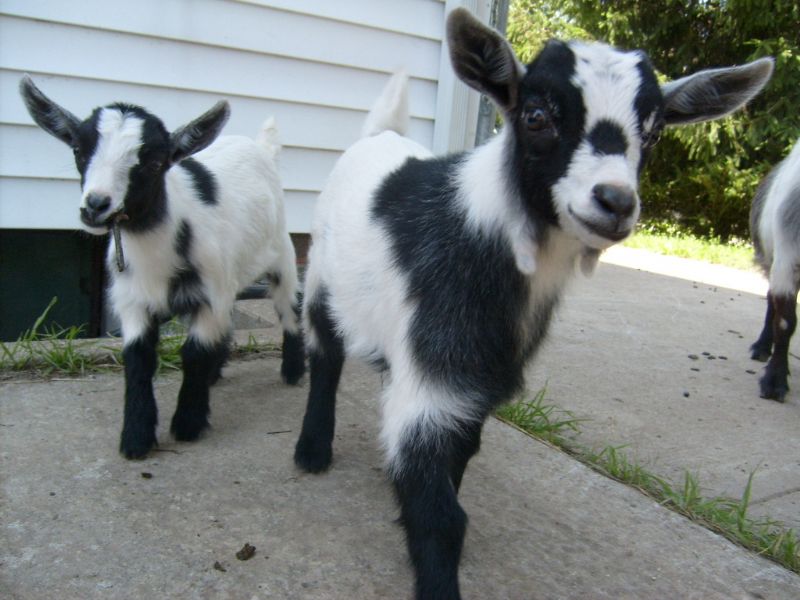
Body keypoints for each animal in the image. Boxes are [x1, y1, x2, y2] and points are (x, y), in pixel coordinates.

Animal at [19, 77, 305, 459]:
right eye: (79, 150)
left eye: (155, 163)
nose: (96, 206)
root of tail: (260, 147)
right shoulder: (133, 302)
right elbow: (138, 360)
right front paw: (136, 438)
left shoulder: (208, 295)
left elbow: (193, 353)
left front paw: (188, 424)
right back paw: (216, 373)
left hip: (281, 255)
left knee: (288, 307)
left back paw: (292, 371)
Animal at [292, 8, 773, 598]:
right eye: (537, 115)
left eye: (655, 131)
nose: (615, 202)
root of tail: (380, 134)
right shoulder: (434, 379)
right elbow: (441, 517)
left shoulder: (474, 383)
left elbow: (458, 456)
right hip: (320, 274)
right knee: (325, 353)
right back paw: (312, 450)